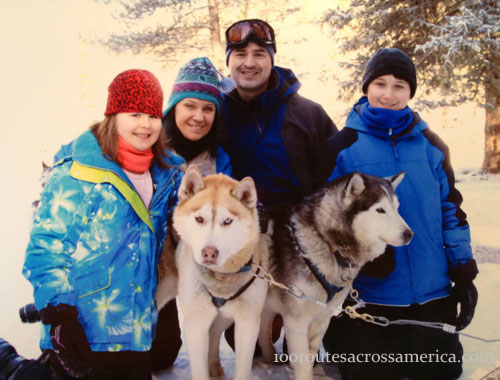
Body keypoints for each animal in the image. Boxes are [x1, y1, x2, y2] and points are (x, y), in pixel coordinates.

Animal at [170, 166, 268, 380]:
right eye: (199, 219)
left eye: (227, 221)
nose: (209, 252)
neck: (220, 281)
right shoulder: (196, 324)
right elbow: (199, 370)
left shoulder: (248, 323)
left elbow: (242, 369)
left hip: (224, 318)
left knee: (214, 335)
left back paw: (214, 365)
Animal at [260, 172, 412, 380]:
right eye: (380, 209)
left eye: (396, 208)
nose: (409, 234)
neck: (328, 244)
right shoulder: (296, 322)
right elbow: (304, 365)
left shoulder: (321, 319)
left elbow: (310, 356)